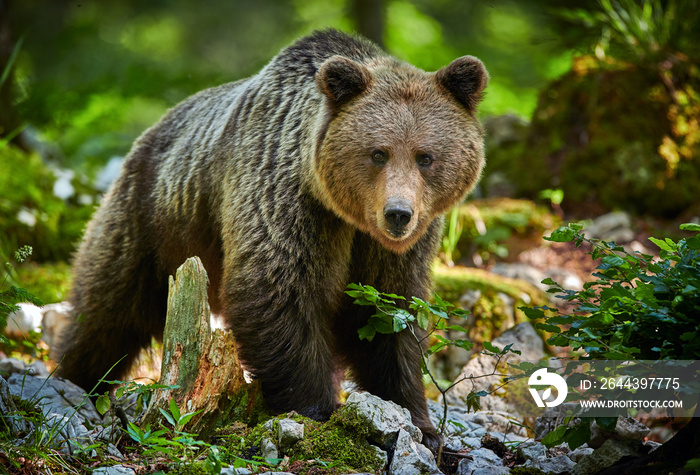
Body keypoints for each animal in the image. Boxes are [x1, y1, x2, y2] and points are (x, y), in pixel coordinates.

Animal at [57, 27, 486, 448]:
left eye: (425, 156)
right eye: (378, 153)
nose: (397, 213)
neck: (348, 216)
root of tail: (153, 131)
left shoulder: (396, 248)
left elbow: (389, 314)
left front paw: (419, 423)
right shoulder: (286, 198)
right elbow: (278, 289)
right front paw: (315, 409)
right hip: (152, 222)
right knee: (107, 311)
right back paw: (75, 380)